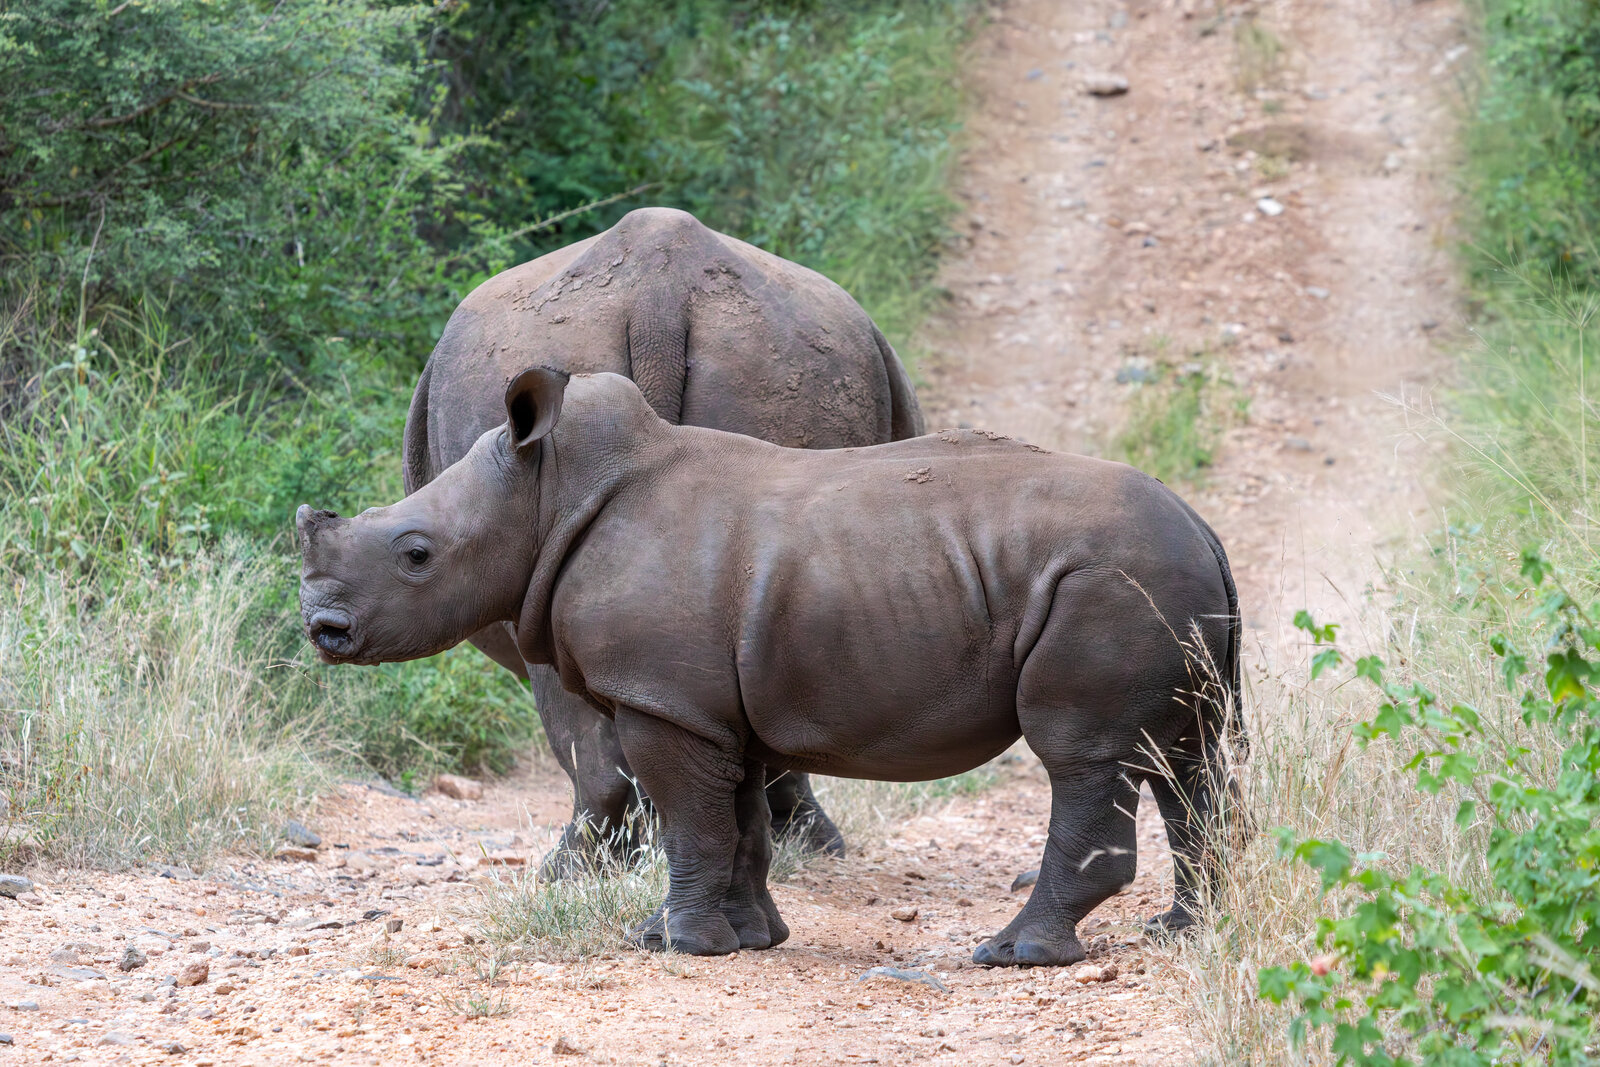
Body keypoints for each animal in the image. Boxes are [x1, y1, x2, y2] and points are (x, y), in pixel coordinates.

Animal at [298, 368, 1243, 966]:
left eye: (416, 553)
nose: (323, 627)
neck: (546, 493)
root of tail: (1202, 525)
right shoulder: (711, 704)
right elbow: (739, 823)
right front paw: (748, 939)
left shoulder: (661, 699)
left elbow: (689, 820)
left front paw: (677, 943)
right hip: (1159, 582)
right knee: (1184, 755)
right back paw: (1181, 933)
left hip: (1103, 581)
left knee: (1082, 755)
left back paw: (1014, 954)